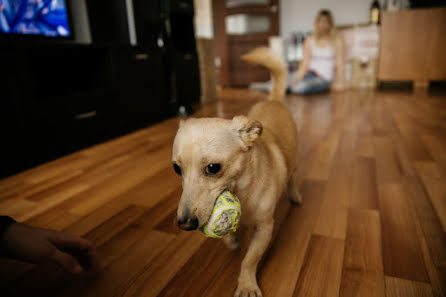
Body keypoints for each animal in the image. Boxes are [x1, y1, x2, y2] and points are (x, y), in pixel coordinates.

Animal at [172, 48, 302, 296]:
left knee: (293, 176)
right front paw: (231, 239)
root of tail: (274, 100)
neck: (242, 190)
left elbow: (250, 259)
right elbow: (229, 236)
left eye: (213, 168)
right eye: (176, 168)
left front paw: (247, 285)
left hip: (295, 160)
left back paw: (295, 194)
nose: (185, 224)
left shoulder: (264, 229)